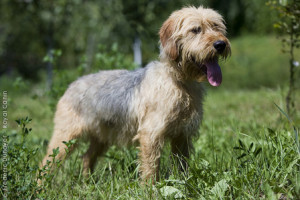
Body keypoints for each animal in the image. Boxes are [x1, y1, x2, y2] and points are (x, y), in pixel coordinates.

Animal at [41, 5, 231, 183]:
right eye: (196, 30)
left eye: (216, 26)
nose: (220, 44)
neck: (179, 82)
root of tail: (71, 85)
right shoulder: (151, 134)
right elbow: (150, 168)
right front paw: (150, 189)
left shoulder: (182, 136)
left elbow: (181, 165)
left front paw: (184, 184)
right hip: (65, 138)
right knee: (45, 164)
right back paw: (40, 186)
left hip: (102, 137)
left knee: (87, 157)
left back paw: (87, 182)